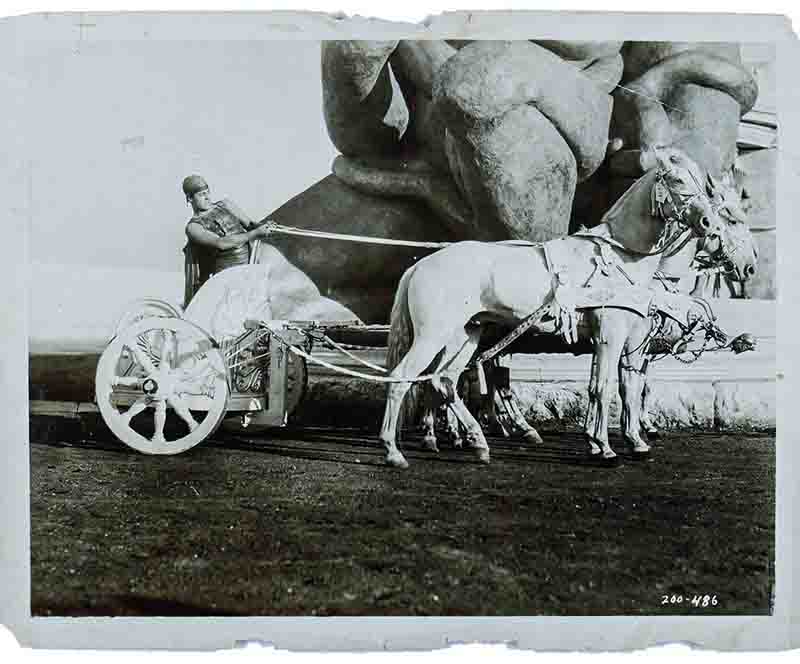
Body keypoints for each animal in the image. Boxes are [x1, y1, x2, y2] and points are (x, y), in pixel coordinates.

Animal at [378, 147, 748, 466]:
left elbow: (624, 387)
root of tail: (421, 265)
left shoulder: (630, 340)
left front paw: (630, 442)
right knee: (403, 378)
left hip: (465, 336)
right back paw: (395, 450)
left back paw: (478, 442)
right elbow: (605, 387)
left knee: (443, 381)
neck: (619, 257)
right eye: (678, 180)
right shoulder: (610, 335)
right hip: (433, 335)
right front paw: (605, 448)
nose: (709, 225)